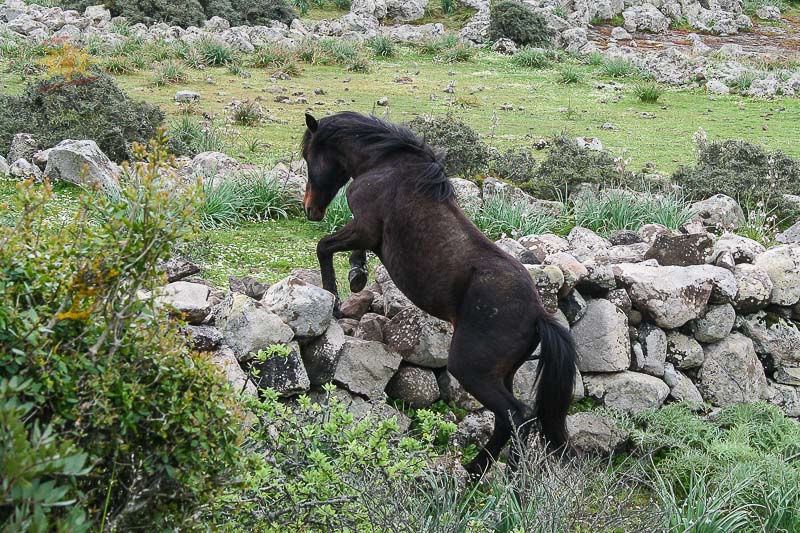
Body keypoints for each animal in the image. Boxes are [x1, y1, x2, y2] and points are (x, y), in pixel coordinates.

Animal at [300, 110, 576, 472]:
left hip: (472, 371)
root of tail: (538, 315)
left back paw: (499, 478)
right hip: (500, 374)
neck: (385, 163)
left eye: (308, 156)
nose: (310, 210)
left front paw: (334, 298)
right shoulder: (365, 234)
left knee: (518, 417)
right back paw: (478, 473)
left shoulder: (363, 228)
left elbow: (324, 247)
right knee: (509, 421)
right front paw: (357, 275)